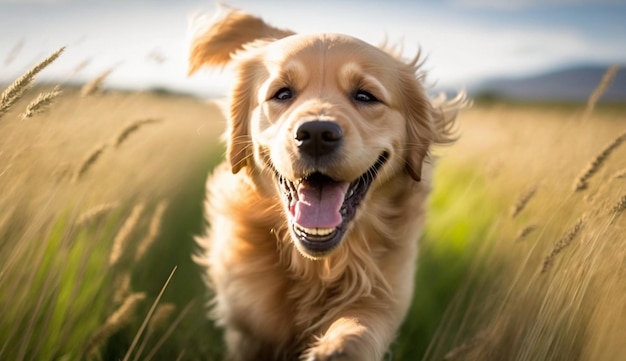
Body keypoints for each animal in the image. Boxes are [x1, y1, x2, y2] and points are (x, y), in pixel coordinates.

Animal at [188, 8, 466, 360]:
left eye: (365, 96)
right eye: (282, 93)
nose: (317, 134)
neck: (315, 265)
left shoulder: (385, 293)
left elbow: (358, 326)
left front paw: (335, 347)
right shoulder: (247, 324)